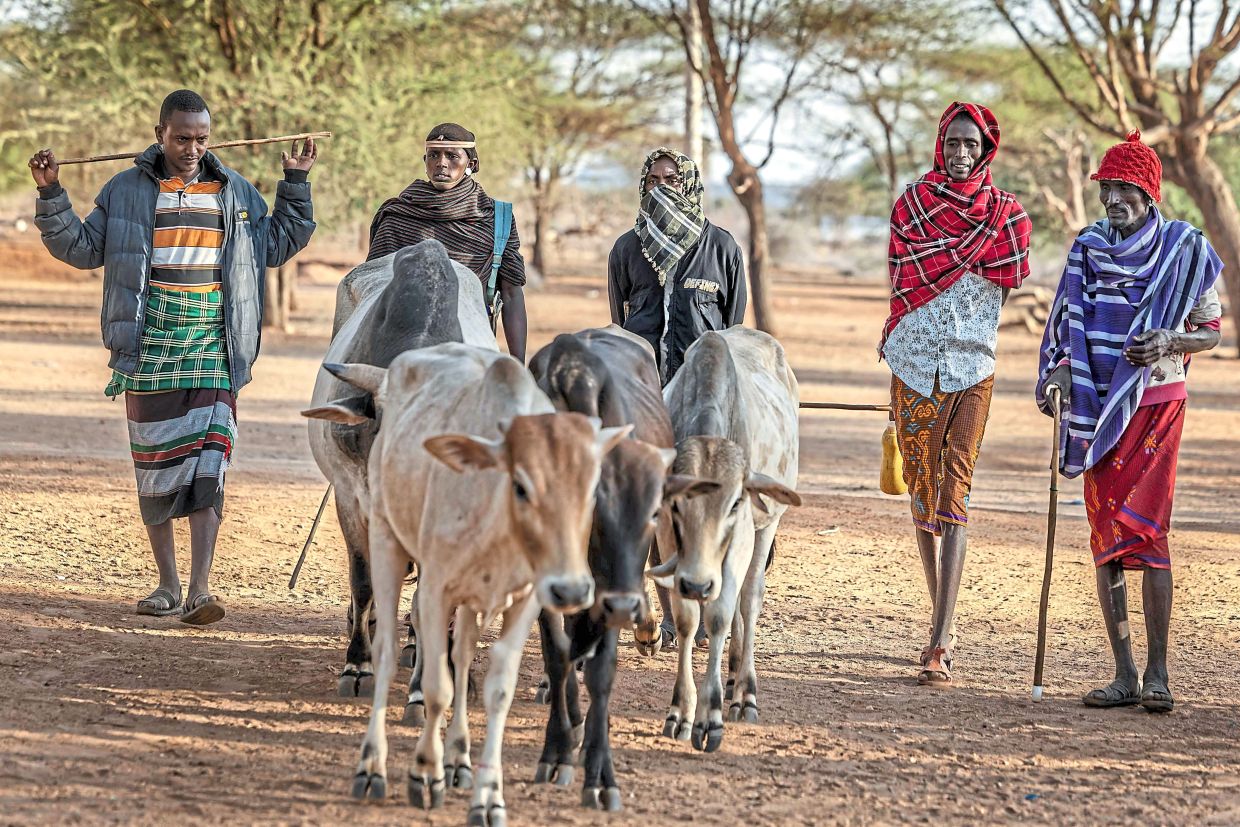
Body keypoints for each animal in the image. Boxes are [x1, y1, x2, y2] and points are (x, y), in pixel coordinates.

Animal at [304, 343, 629, 826]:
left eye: (590, 488)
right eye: (522, 484)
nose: (572, 590)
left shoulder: (523, 600)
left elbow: (495, 689)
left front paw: (487, 796)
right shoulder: (435, 584)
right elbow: (436, 683)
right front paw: (424, 772)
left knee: (460, 653)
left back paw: (458, 759)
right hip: (384, 538)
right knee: (386, 650)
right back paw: (372, 764)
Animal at [647, 327, 801, 753]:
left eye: (734, 503)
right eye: (676, 505)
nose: (698, 583)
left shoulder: (742, 535)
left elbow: (717, 616)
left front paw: (711, 716)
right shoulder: (673, 544)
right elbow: (688, 619)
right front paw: (681, 712)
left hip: (765, 528)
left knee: (747, 601)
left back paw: (744, 691)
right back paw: (732, 678)